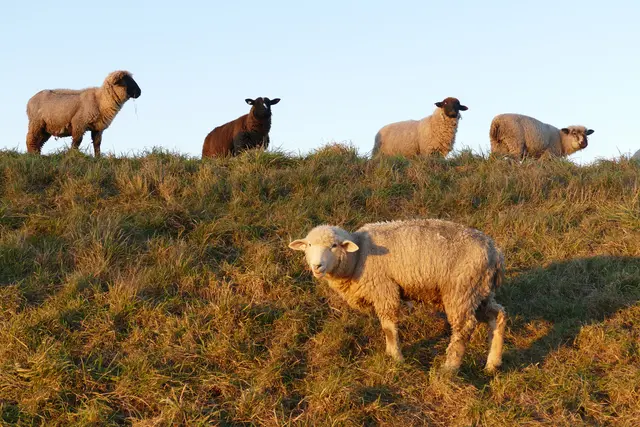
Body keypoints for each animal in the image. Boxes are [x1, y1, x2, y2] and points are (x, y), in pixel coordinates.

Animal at [288, 218, 507, 374]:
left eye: (334, 245)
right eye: (308, 245)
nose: (317, 266)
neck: (358, 258)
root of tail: (495, 251)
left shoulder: (384, 289)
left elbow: (388, 327)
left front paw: (395, 357)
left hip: (461, 290)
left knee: (464, 328)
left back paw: (450, 368)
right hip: (479, 290)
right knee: (497, 315)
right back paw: (492, 364)